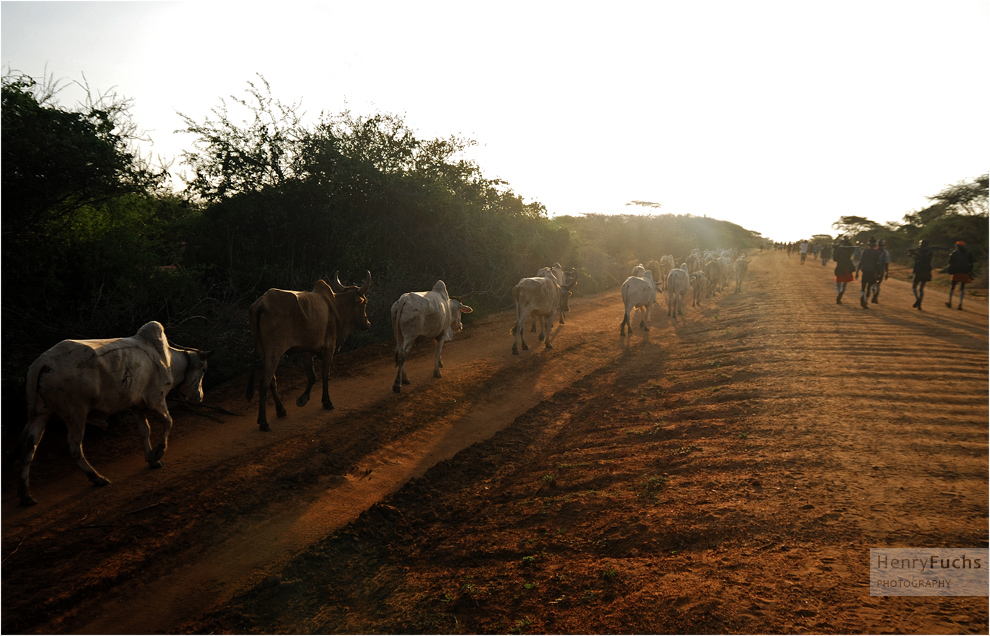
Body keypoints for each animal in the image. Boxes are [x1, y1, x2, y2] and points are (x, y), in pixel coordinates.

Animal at [17, 322, 211, 506]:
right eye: (203, 370)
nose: (200, 396)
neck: (168, 360)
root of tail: (43, 361)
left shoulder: (138, 406)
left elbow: (145, 431)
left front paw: (151, 459)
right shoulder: (156, 400)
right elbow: (168, 422)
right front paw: (158, 452)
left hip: (40, 414)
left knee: (29, 447)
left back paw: (26, 496)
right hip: (75, 413)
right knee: (74, 446)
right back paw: (97, 479)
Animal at [248, 270, 372, 430]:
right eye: (365, 302)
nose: (368, 323)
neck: (335, 307)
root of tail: (261, 303)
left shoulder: (306, 352)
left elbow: (312, 376)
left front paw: (303, 399)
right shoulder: (329, 349)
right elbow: (325, 375)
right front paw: (327, 402)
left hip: (264, 352)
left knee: (271, 382)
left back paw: (281, 410)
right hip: (274, 351)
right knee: (264, 382)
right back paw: (263, 422)